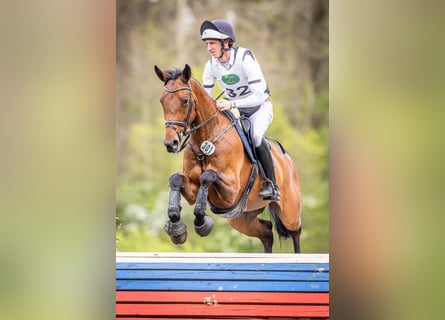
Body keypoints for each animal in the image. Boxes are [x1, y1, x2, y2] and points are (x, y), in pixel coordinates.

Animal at [153, 63, 302, 252]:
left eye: (185, 101)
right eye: (161, 101)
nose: (170, 143)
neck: (207, 138)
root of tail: (288, 161)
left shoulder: (232, 189)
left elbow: (207, 176)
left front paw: (202, 222)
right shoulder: (193, 189)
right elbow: (176, 180)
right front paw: (176, 227)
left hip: (290, 212)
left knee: (295, 233)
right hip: (242, 217)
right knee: (267, 232)